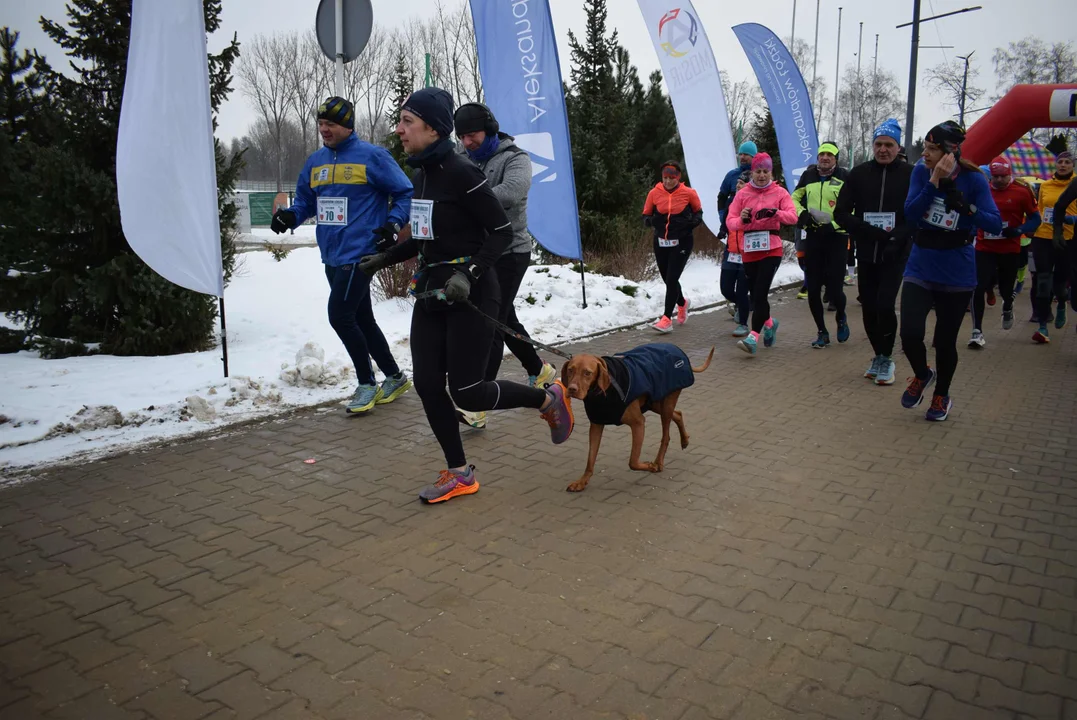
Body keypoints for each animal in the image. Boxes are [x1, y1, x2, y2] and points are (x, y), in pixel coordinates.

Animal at [560, 342, 710, 488]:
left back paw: (658, 462)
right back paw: (684, 440)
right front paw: (582, 481)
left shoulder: (638, 423)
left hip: (666, 403)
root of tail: (677, 350)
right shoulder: (596, 424)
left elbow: (632, 461)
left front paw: (650, 466)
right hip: (654, 403)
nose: (572, 389)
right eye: (570, 370)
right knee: (678, 414)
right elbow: (590, 459)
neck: (602, 392)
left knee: (666, 436)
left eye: (587, 373)